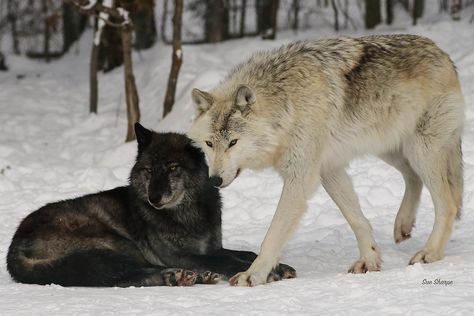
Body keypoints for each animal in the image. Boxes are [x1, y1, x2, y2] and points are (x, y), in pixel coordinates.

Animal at [6, 124, 296, 288]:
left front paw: (271, 265)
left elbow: (243, 253)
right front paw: (267, 272)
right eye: (147, 170)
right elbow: (225, 259)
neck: (188, 213)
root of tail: (13, 248)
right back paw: (177, 277)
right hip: (116, 243)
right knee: (123, 274)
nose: (153, 198)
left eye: (172, 168)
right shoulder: (181, 255)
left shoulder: (210, 247)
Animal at [187, 34, 464, 286]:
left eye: (233, 142)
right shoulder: (329, 170)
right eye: (209, 144)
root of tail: (442, 53)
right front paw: (369, 260)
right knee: (412, 177)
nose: (215, 180)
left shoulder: (300, 178)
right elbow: (357, 220)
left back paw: (430, 253)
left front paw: (252, 275)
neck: (286, 104)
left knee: (447, 204)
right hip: (390, 149)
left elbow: (273, 235)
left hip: (421, 150)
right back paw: (403, 225)